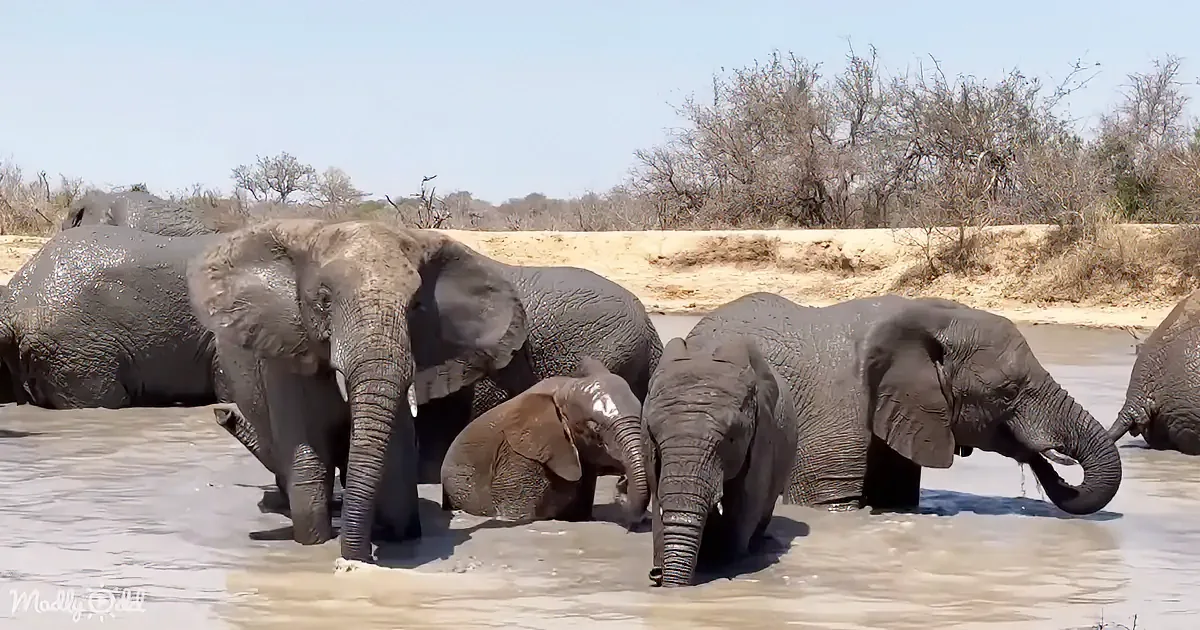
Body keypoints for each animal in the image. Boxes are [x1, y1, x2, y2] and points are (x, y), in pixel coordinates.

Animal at [643, 335, 799, 587]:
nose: (655, 574)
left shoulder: (762, 435)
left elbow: (745, 503)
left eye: (731, 439)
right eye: (654, 436)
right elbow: (659, 500)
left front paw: (724, 565)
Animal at [677, 292, 1121, 518]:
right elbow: (828, 503)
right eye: (1008, 392)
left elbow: (895, 496)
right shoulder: (839, 409)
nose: (1048, 456)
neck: (931, 319)